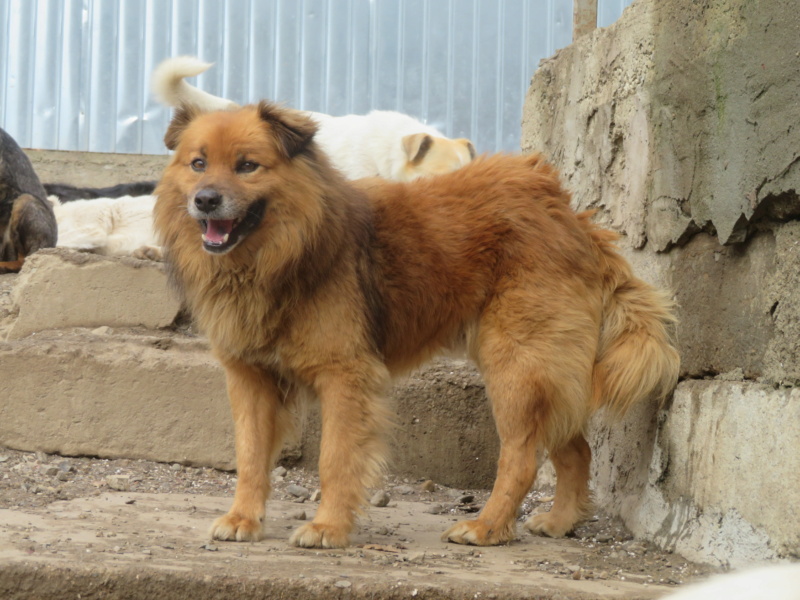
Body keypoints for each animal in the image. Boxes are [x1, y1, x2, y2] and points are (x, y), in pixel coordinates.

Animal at [156, 102, 680, 548]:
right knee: (574, 450)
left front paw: (328, 528)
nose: (205, 201)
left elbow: (335, 459)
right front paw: (243, 519)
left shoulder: (345, 377)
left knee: (522, 457)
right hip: (541, 370)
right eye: (198, 164)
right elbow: (249, 457)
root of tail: (567, 211)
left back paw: (488, 527)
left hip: (516, 368)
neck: (279, 255)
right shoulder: (250, 378)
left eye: (247, 166)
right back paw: (559, 521)